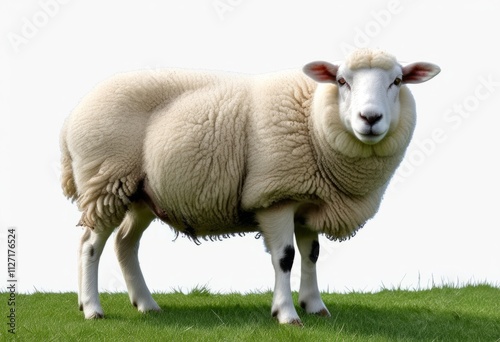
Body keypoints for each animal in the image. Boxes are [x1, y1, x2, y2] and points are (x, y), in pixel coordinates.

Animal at [60, 47, 440, 324]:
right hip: (105, 181)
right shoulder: (276, 197)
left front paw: (315, 306)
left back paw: (146, 304)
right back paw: (92, 308)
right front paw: (286, 314)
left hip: (140, 193)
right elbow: (285, 258)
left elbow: (312, 255)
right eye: (342, 81)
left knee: (125, 244)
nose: (370, 118)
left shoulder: (308, 197)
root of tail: (71, 118)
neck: (312, 123)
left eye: (397, 81)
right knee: (89, 245)